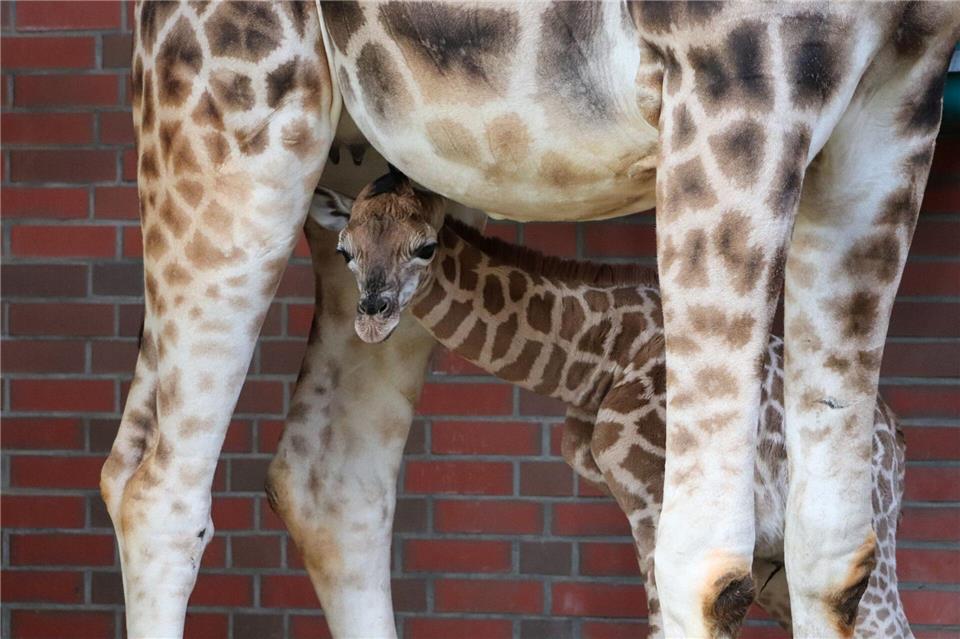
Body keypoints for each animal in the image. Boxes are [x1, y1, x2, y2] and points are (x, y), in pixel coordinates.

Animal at [306, 173, 911, 637]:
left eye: (426, 246)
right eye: (344, 250)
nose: (372, 317)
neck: (597, 361)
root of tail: (896, 438)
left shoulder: (653, 498)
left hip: (858, 537)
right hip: (778, 560)